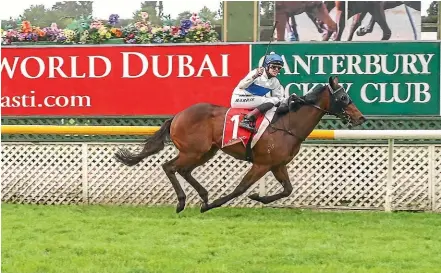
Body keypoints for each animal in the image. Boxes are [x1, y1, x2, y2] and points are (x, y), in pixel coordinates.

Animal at [115, 76, 366, 212]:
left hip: (205, 152)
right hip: (193, 151)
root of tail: (177, 115)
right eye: (343, 97)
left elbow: (287, 190)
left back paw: (203, 195)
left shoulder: (277, 165)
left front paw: (259, 198)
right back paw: (183, 201)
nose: (360, 117)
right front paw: (213, 205)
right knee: (169, 167)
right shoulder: (262, 164)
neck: (288, 124)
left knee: (183, 170)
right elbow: (241, 188)